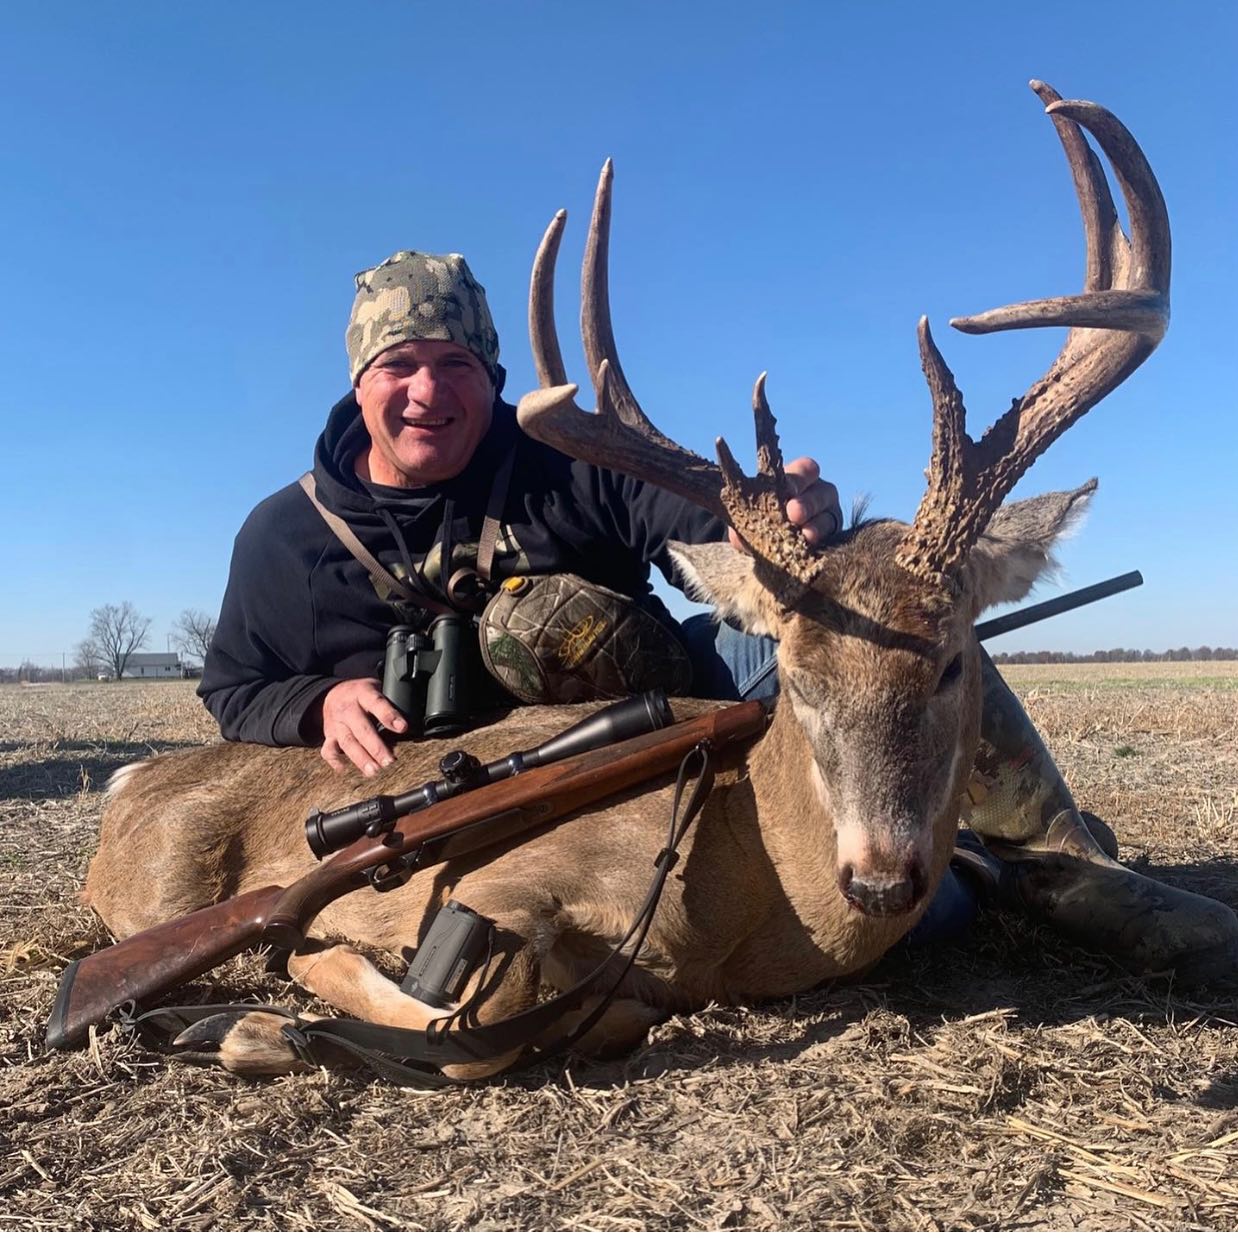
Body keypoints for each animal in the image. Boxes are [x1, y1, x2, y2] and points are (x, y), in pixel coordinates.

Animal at [82, 81, 1169, 1081]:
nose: (878, 878)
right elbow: (475, 1018)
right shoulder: (495, 880)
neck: (757, 900)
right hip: (157, 885)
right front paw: (282, 994)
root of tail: (131, 779)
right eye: (798, 676)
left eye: (950, 663)